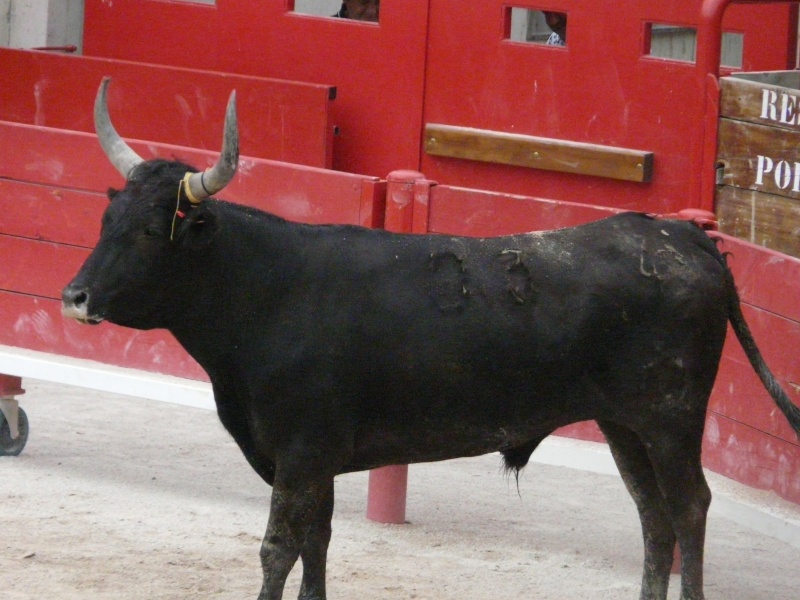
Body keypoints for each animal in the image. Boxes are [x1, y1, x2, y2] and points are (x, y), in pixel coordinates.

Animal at [61, 83, 800, 600]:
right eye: (104, 220)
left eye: (151, 231)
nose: (75, 297)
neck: (265, 288)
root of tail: (690, 239)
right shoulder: (314, 461)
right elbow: (317, 542)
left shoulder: (300, 452)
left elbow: (278, 547)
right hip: (625, 423)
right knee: (654, 518)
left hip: (672, 417)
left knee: (689, 509)